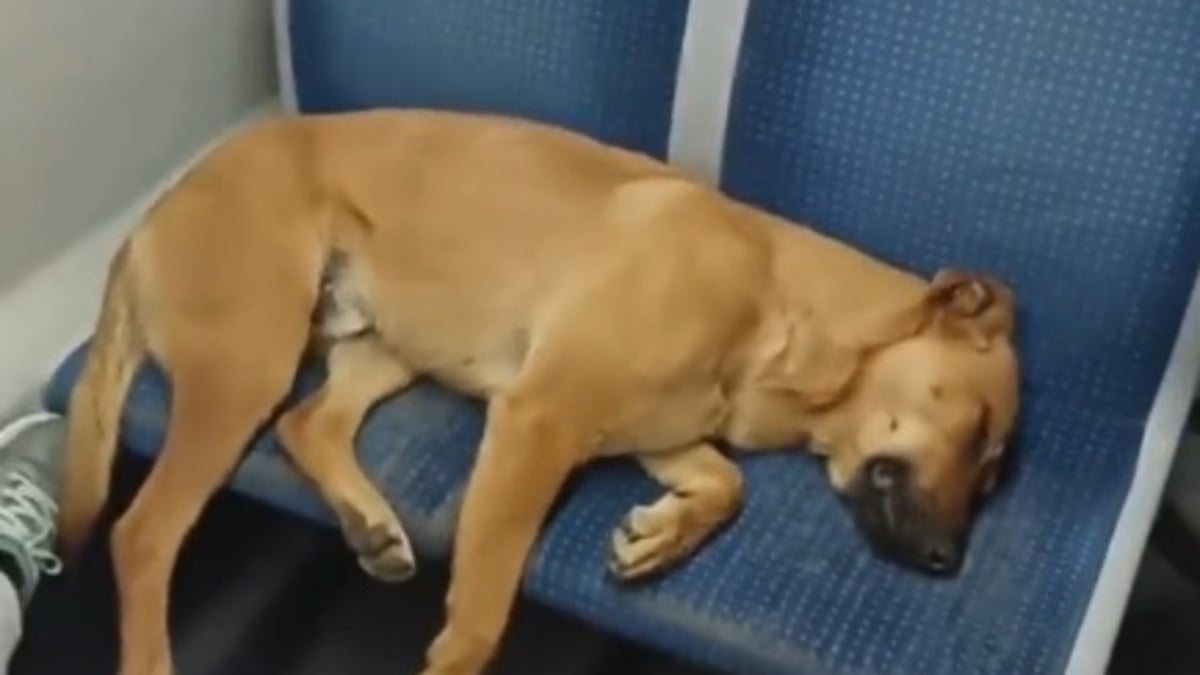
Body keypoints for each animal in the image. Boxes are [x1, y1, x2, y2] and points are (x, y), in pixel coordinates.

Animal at [58, 107, 1022, 667]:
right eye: (979, 431)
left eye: (991, 468)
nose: (949, 561)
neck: (781, 305)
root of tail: (149, 218)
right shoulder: (539, 423)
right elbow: (482, 614)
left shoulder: (658, 432)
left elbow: (727, 483)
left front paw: (660, 536)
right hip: (246, 361)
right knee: (142, 535)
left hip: (389, 344)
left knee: (308, 423)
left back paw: (369, 523)